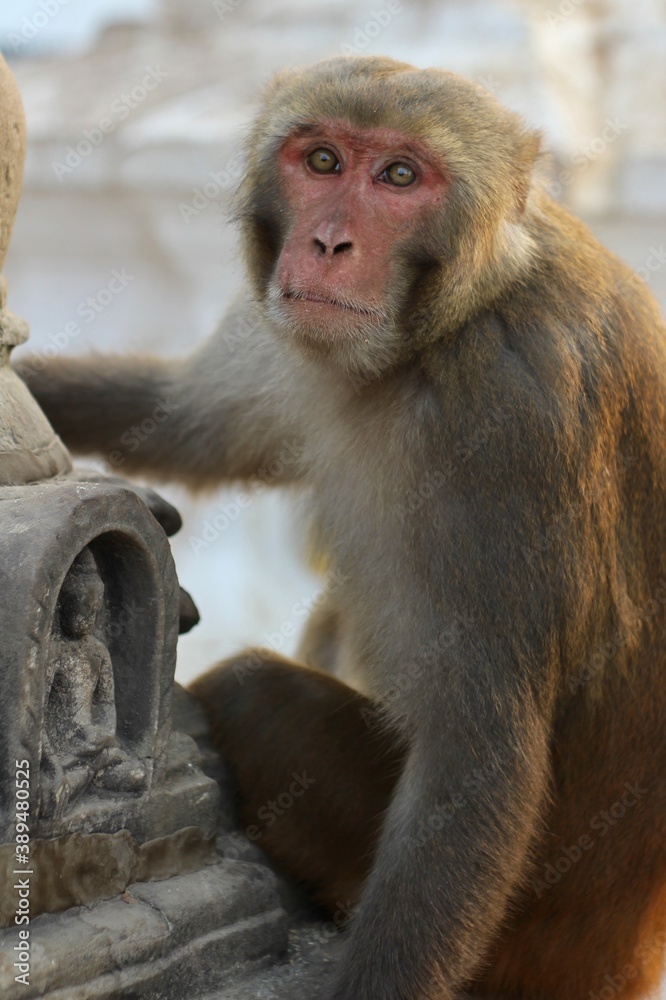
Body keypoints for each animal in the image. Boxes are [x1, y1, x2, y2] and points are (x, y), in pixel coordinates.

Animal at [15, 56, 666, 1000]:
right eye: (321, 160)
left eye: (399, 177)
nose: (327, 243)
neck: (442, 329)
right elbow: (187, 423)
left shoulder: (514, 422)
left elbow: (478, 760)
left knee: (253, 689)